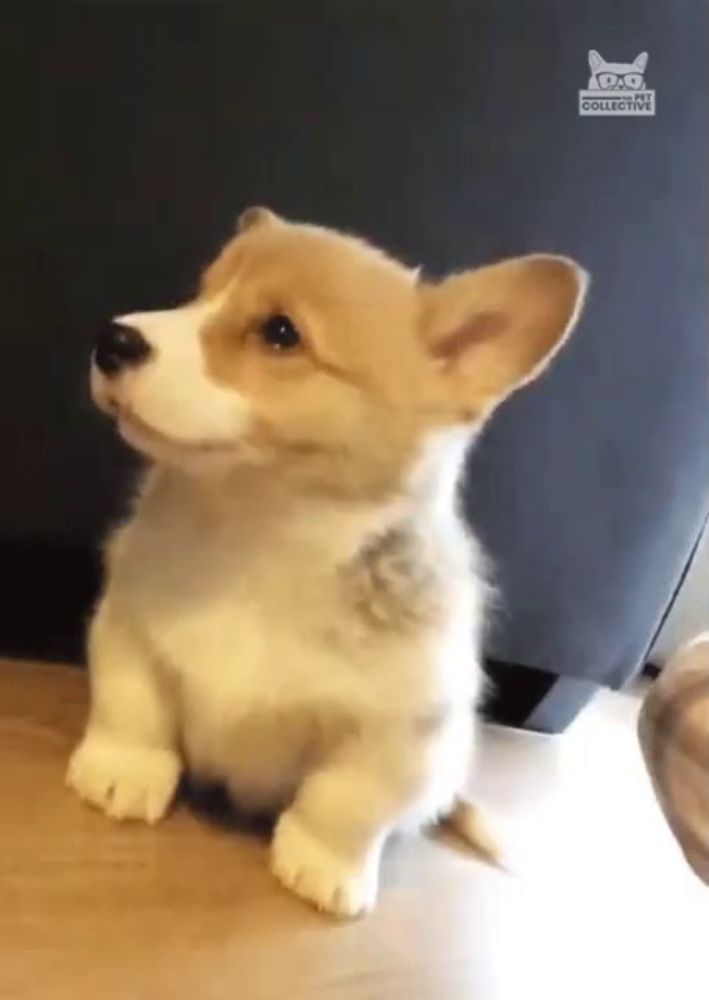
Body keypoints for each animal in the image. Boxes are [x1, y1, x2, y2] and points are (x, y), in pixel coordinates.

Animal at [66, 209, 588, 916]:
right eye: (199, 294)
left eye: (281, 332)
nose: (111, 339)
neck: (262, 539)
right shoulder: (128, 626)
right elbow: (133, 708)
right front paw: (121, 772)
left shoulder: (401, 733)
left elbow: (345, 803)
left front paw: (323, 867)